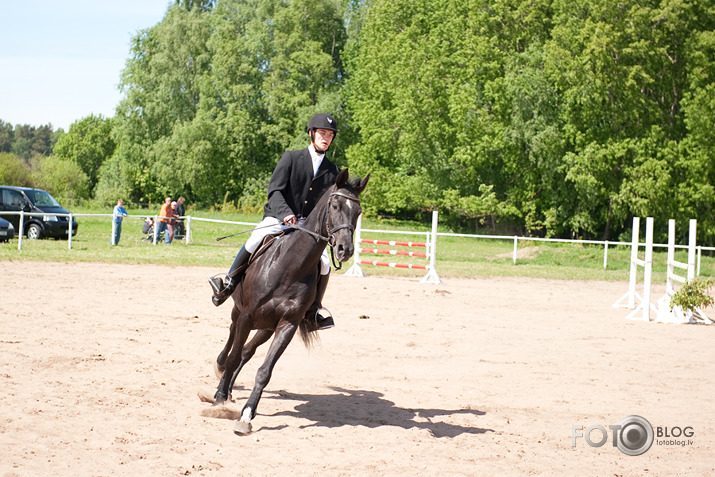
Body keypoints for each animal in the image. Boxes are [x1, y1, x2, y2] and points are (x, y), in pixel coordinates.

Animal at [210, 169, 370, 434]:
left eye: (357, 212)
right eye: (335, 206)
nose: (345, 250)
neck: (290, 267)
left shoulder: (287, 325)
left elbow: (264, 371)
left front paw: (246, 415)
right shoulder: (247, 316)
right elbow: (233, 356)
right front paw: (220, 398)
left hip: (266, 327)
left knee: (246, 351)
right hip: (238, 311)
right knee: (232, 339)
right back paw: (221, 368)